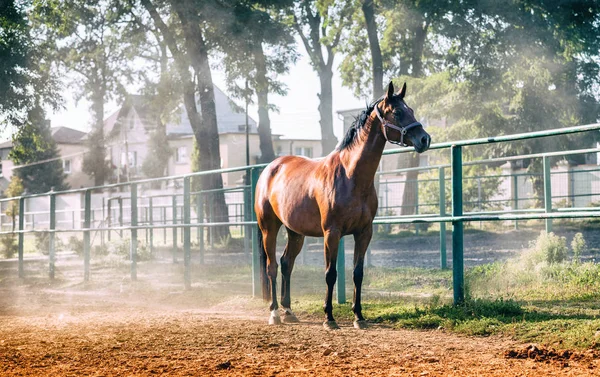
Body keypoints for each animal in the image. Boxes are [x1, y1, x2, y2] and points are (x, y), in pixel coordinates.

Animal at [253, 81, 432, 328]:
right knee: (272, 267)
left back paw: (289, 311)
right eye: (397, 112)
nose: (425, 139)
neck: (351, 176)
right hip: (269, 228)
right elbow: (331, 274)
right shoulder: (332, 233)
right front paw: (329, 318)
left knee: (287, 263)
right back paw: (275, 314)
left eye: (411, 110)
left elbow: (358, 273)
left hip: (295, 232)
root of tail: (270, 169)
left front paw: (359, 317)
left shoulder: (364, 232)